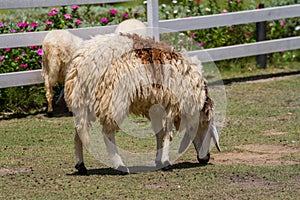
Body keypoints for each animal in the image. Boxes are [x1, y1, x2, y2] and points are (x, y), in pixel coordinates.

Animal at [65, 33, 220, 176]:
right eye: (205, 124)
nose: (206, 158)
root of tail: (82, 62)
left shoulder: (156, 106)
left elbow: (159, 133)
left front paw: (158, 160)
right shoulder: (172, 104)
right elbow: (167, 134)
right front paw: (166, 162)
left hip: (84, 102)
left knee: (79, 129)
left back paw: (81, 165)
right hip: (113, 100)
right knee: (107, 134)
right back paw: (120, 165)